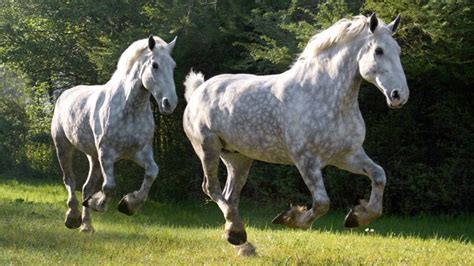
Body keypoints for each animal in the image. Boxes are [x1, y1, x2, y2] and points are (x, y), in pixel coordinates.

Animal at [51, 35, 178, 233]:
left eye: (173, 66)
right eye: (155, 65)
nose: (169, 103)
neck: (128, 109)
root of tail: (64, 94)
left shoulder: (140, 152)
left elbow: (152, 173)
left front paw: (128, 205)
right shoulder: (107, 153)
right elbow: (109, 186)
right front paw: (98, 204)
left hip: (93, 157)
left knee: (86, 187)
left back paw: (86, 226)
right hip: (64, 146)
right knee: (70, 180)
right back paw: (72, 218)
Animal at [183, 13, 410, 255]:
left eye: (398, 50)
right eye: (379, 51)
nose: (399, 95)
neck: (326, 96)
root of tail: (197, 90)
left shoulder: (346, 155)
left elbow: (379, 176)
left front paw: (357, 217)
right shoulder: (306, 160)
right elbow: (322, 202)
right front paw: (290, 219)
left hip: (238, 158)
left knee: (230, 195)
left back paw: (237, 236)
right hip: (208, 148)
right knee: (211, 188)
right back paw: (236, 233)